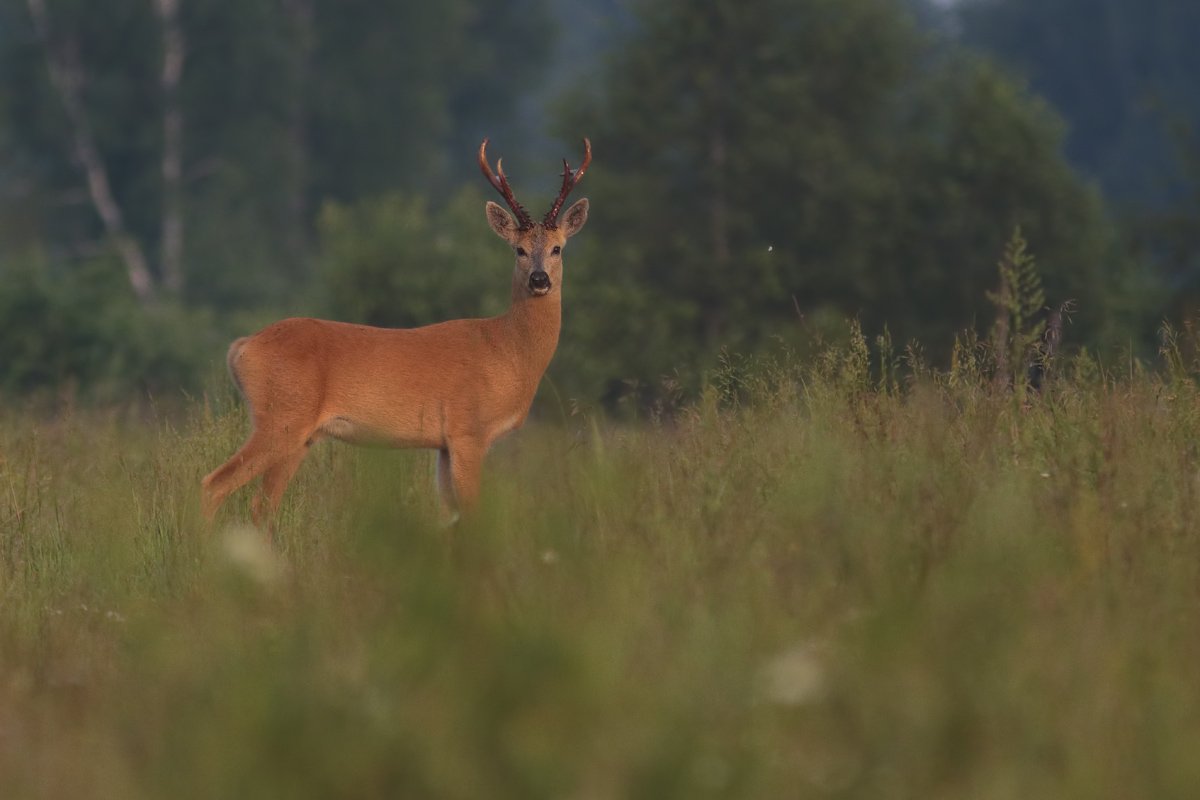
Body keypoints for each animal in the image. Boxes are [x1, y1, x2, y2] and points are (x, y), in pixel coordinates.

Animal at [204, 139, 592, 525]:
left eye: (557, 248)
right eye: (519, 250)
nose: (539, 280)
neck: (507, 350)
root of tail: (242, 346)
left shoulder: (444, 445)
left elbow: (451, 516)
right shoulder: (468, 430)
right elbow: (472, 514)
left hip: (299, 435)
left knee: (261, 505)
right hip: (281, 419)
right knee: (214, 484)